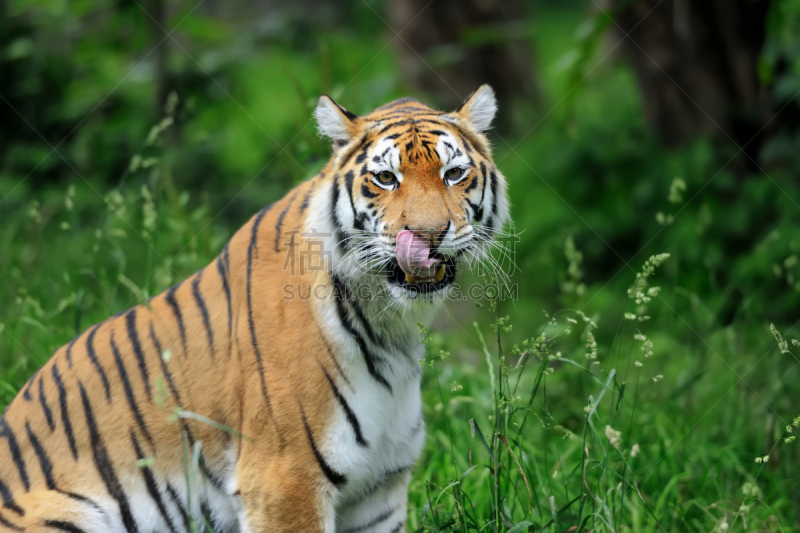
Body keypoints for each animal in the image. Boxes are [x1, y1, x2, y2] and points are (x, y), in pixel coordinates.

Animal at [0, 85, 510, 528]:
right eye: (386, 178)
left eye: (453, 173)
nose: (427, 236)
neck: (390, 320)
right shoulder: (286, 478)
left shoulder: (378, 491)